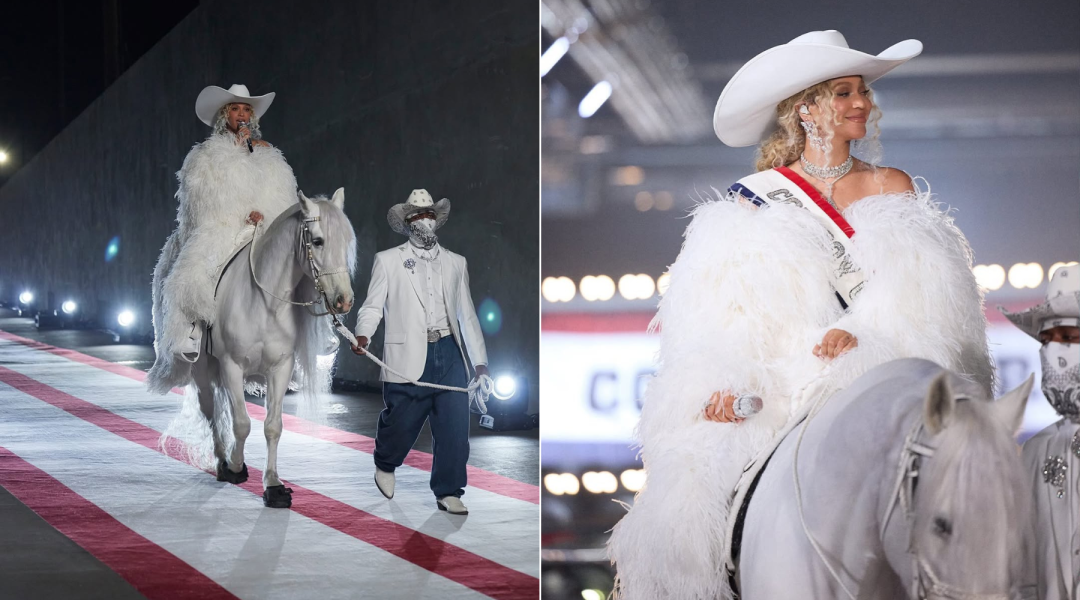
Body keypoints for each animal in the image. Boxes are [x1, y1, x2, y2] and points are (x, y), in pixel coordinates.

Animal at [183, 188, 354, 507]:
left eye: (346, 242)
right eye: (318, 241)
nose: (344, 300)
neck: (264, 303)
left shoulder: (280, 368)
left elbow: (272, 426)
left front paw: (273, 485)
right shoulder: (231, 366)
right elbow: (241, 423)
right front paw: (236, 466)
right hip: (203, 368)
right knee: (211, 409)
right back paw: (222, 461)